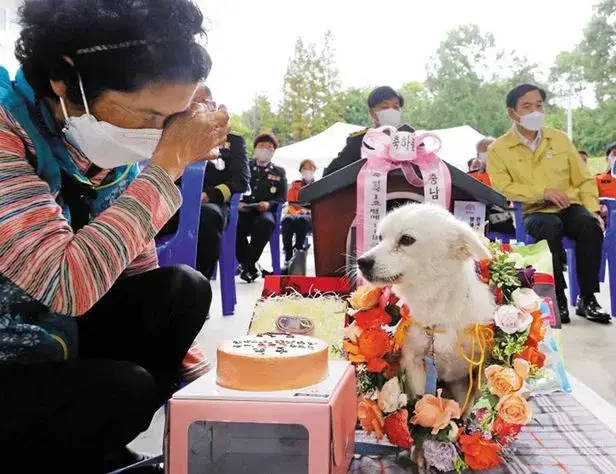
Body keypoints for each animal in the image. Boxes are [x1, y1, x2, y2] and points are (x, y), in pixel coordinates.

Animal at [356, 202, 496, 410]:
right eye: (380, 238)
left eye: (406, 239)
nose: (362, 261)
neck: (437, 311)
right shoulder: (414, 364)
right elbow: (421, 399)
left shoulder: (478, 367)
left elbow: (473, 406)